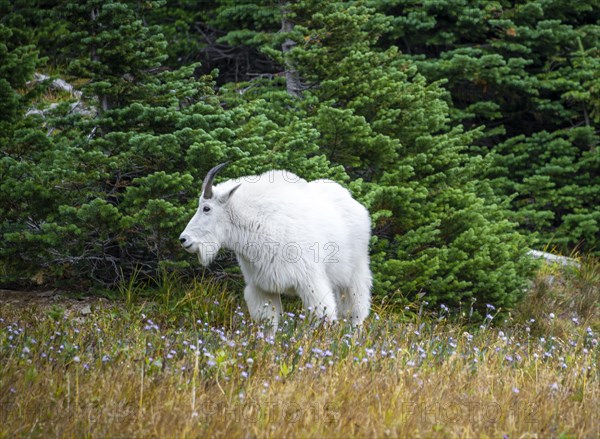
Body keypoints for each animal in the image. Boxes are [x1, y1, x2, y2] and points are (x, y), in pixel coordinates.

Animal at [180, 164, 372, 330]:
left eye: (206, 208)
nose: (184, 239)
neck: (260, 224)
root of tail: (355, 203)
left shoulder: (310, 281)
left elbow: (322, 318)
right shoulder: (262, 288)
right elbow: (268, 324)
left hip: (356, 273)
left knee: (357, 312)